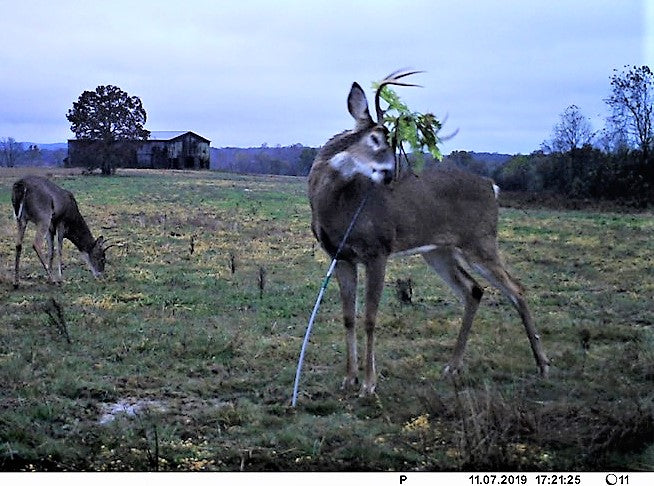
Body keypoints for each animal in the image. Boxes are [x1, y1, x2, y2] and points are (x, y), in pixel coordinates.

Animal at [310, 72, 552, 396]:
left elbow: (370, 317)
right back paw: (452, 367)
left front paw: (369, 384)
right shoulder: (340, 256)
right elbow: (349, 317)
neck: (336, 205)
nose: (390, 174)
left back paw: (543, 365)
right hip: (440, 250)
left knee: (516, 289)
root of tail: (492, 185)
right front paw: (349, 379)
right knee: (473, 290)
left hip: (480, 240)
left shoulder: (378, 250)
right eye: (375, 138)